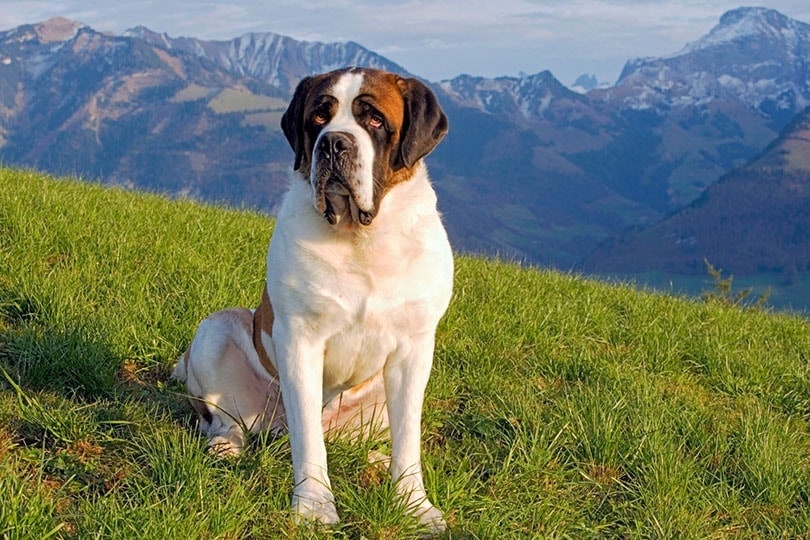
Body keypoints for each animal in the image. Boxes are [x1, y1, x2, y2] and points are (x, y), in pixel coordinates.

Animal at [174, 66, 452, 532]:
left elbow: (408, 439)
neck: (360, 238)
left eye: (374, 119)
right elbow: (309, 437)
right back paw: (226, 446)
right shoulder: (300, 340)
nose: (334, 143)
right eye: (319, 117)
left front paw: (414, 506)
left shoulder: (414, 349)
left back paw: (375, 461)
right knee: (229, 421)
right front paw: (314, 507)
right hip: (217, 331)